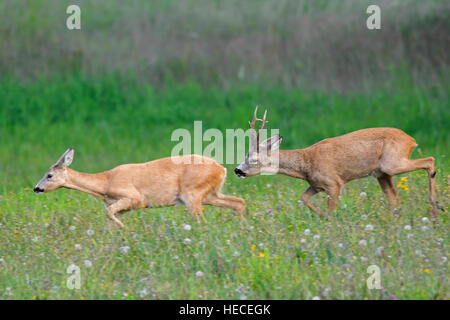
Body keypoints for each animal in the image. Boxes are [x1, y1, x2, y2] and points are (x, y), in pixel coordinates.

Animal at [34, 149, 246, 226]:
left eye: (49, 175)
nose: (36, 188)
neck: (106, 182)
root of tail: (221, 169)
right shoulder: (120, 207)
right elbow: (109, 217)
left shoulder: (134, 198)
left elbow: (109, 213)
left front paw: (124, 229)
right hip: (210, 194)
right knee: (239, 202)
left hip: (192, 194)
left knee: (203, 221)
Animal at [236, 107, 442, 220]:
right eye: (245, 154)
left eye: (253, 159)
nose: (237, 170)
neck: (306, 162)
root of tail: (411, 139)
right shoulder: (316, 185)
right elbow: (304, 198)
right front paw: (322, 217)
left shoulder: (334, 183)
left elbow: (332, 210)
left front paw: (330, 221)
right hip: (382, 173)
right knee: (394, 198)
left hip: (392, 163)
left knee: (430, 160)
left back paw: (435, 204)